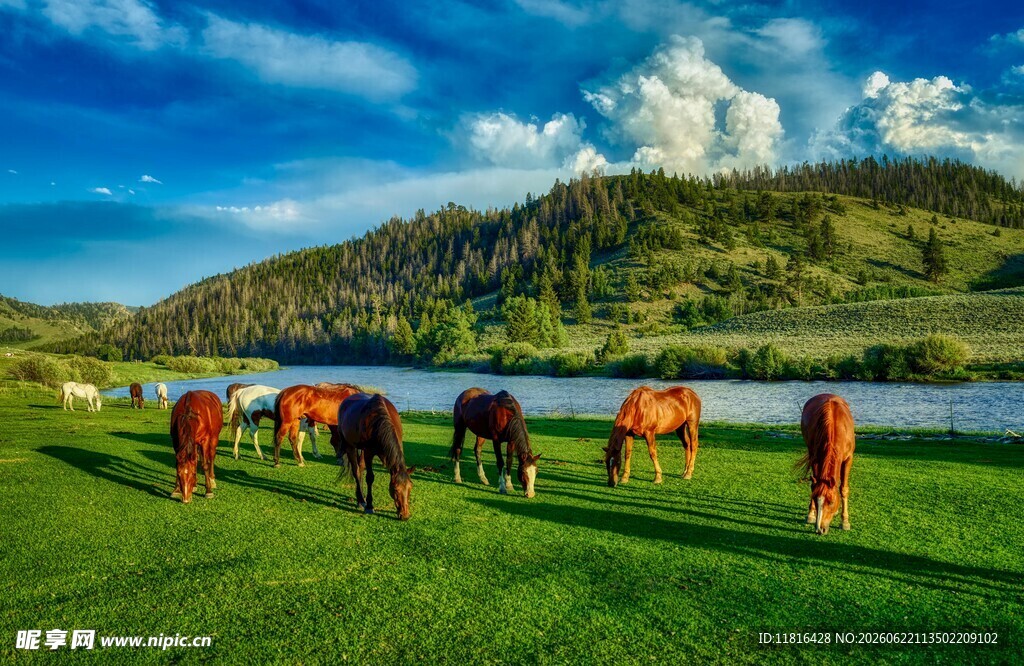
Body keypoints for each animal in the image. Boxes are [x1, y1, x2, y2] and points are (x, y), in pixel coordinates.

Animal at [797, 393, 855, 535]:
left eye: (831, 502)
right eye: (815, 498)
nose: (820, 529)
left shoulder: (848, 459)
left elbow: (843, 489)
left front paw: (845, 521)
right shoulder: (815, 458)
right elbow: (813, 485)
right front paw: (811, 514)